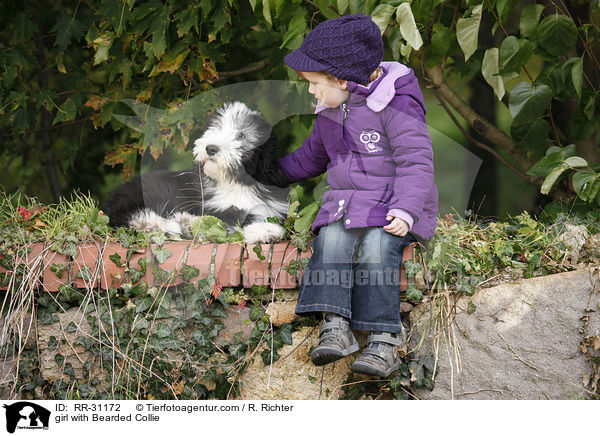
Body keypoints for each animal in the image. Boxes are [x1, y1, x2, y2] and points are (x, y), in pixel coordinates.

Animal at [105, 102, 292, 245]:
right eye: (215, 127)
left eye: (241, 135)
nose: (211, 148)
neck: (235, 182)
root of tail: (112, 201)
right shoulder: (215, 208)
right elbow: (230, 225)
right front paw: (267, 231)